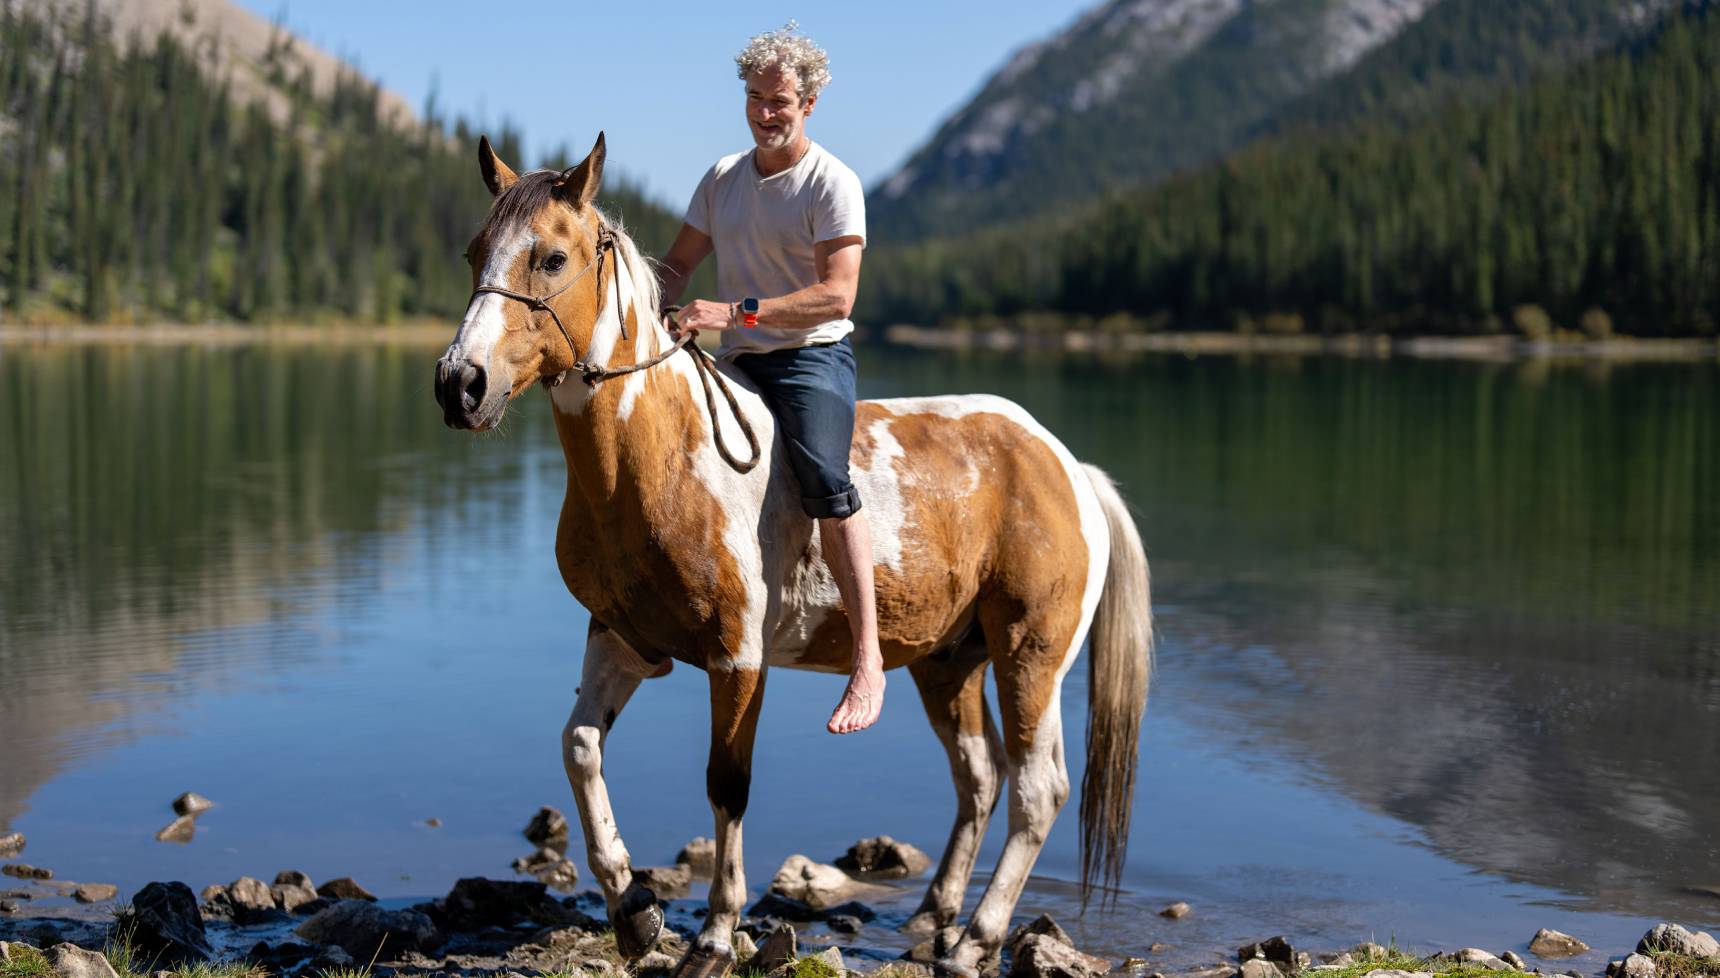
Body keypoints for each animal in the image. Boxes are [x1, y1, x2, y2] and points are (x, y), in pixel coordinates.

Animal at [434, 133, 1154, 978]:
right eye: (475, 250)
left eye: (550, 257)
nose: (460, 383)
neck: (660, 459)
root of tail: (1067, 465)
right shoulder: (622, 639)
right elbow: (579, 748)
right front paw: (634, 910)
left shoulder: (738, 658)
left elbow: (727, 788)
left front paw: (714, 938)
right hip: (950, 663)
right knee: (980, 778)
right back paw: (934, 914)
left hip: (1030, 655)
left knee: (1038, 791)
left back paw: (974, 940)